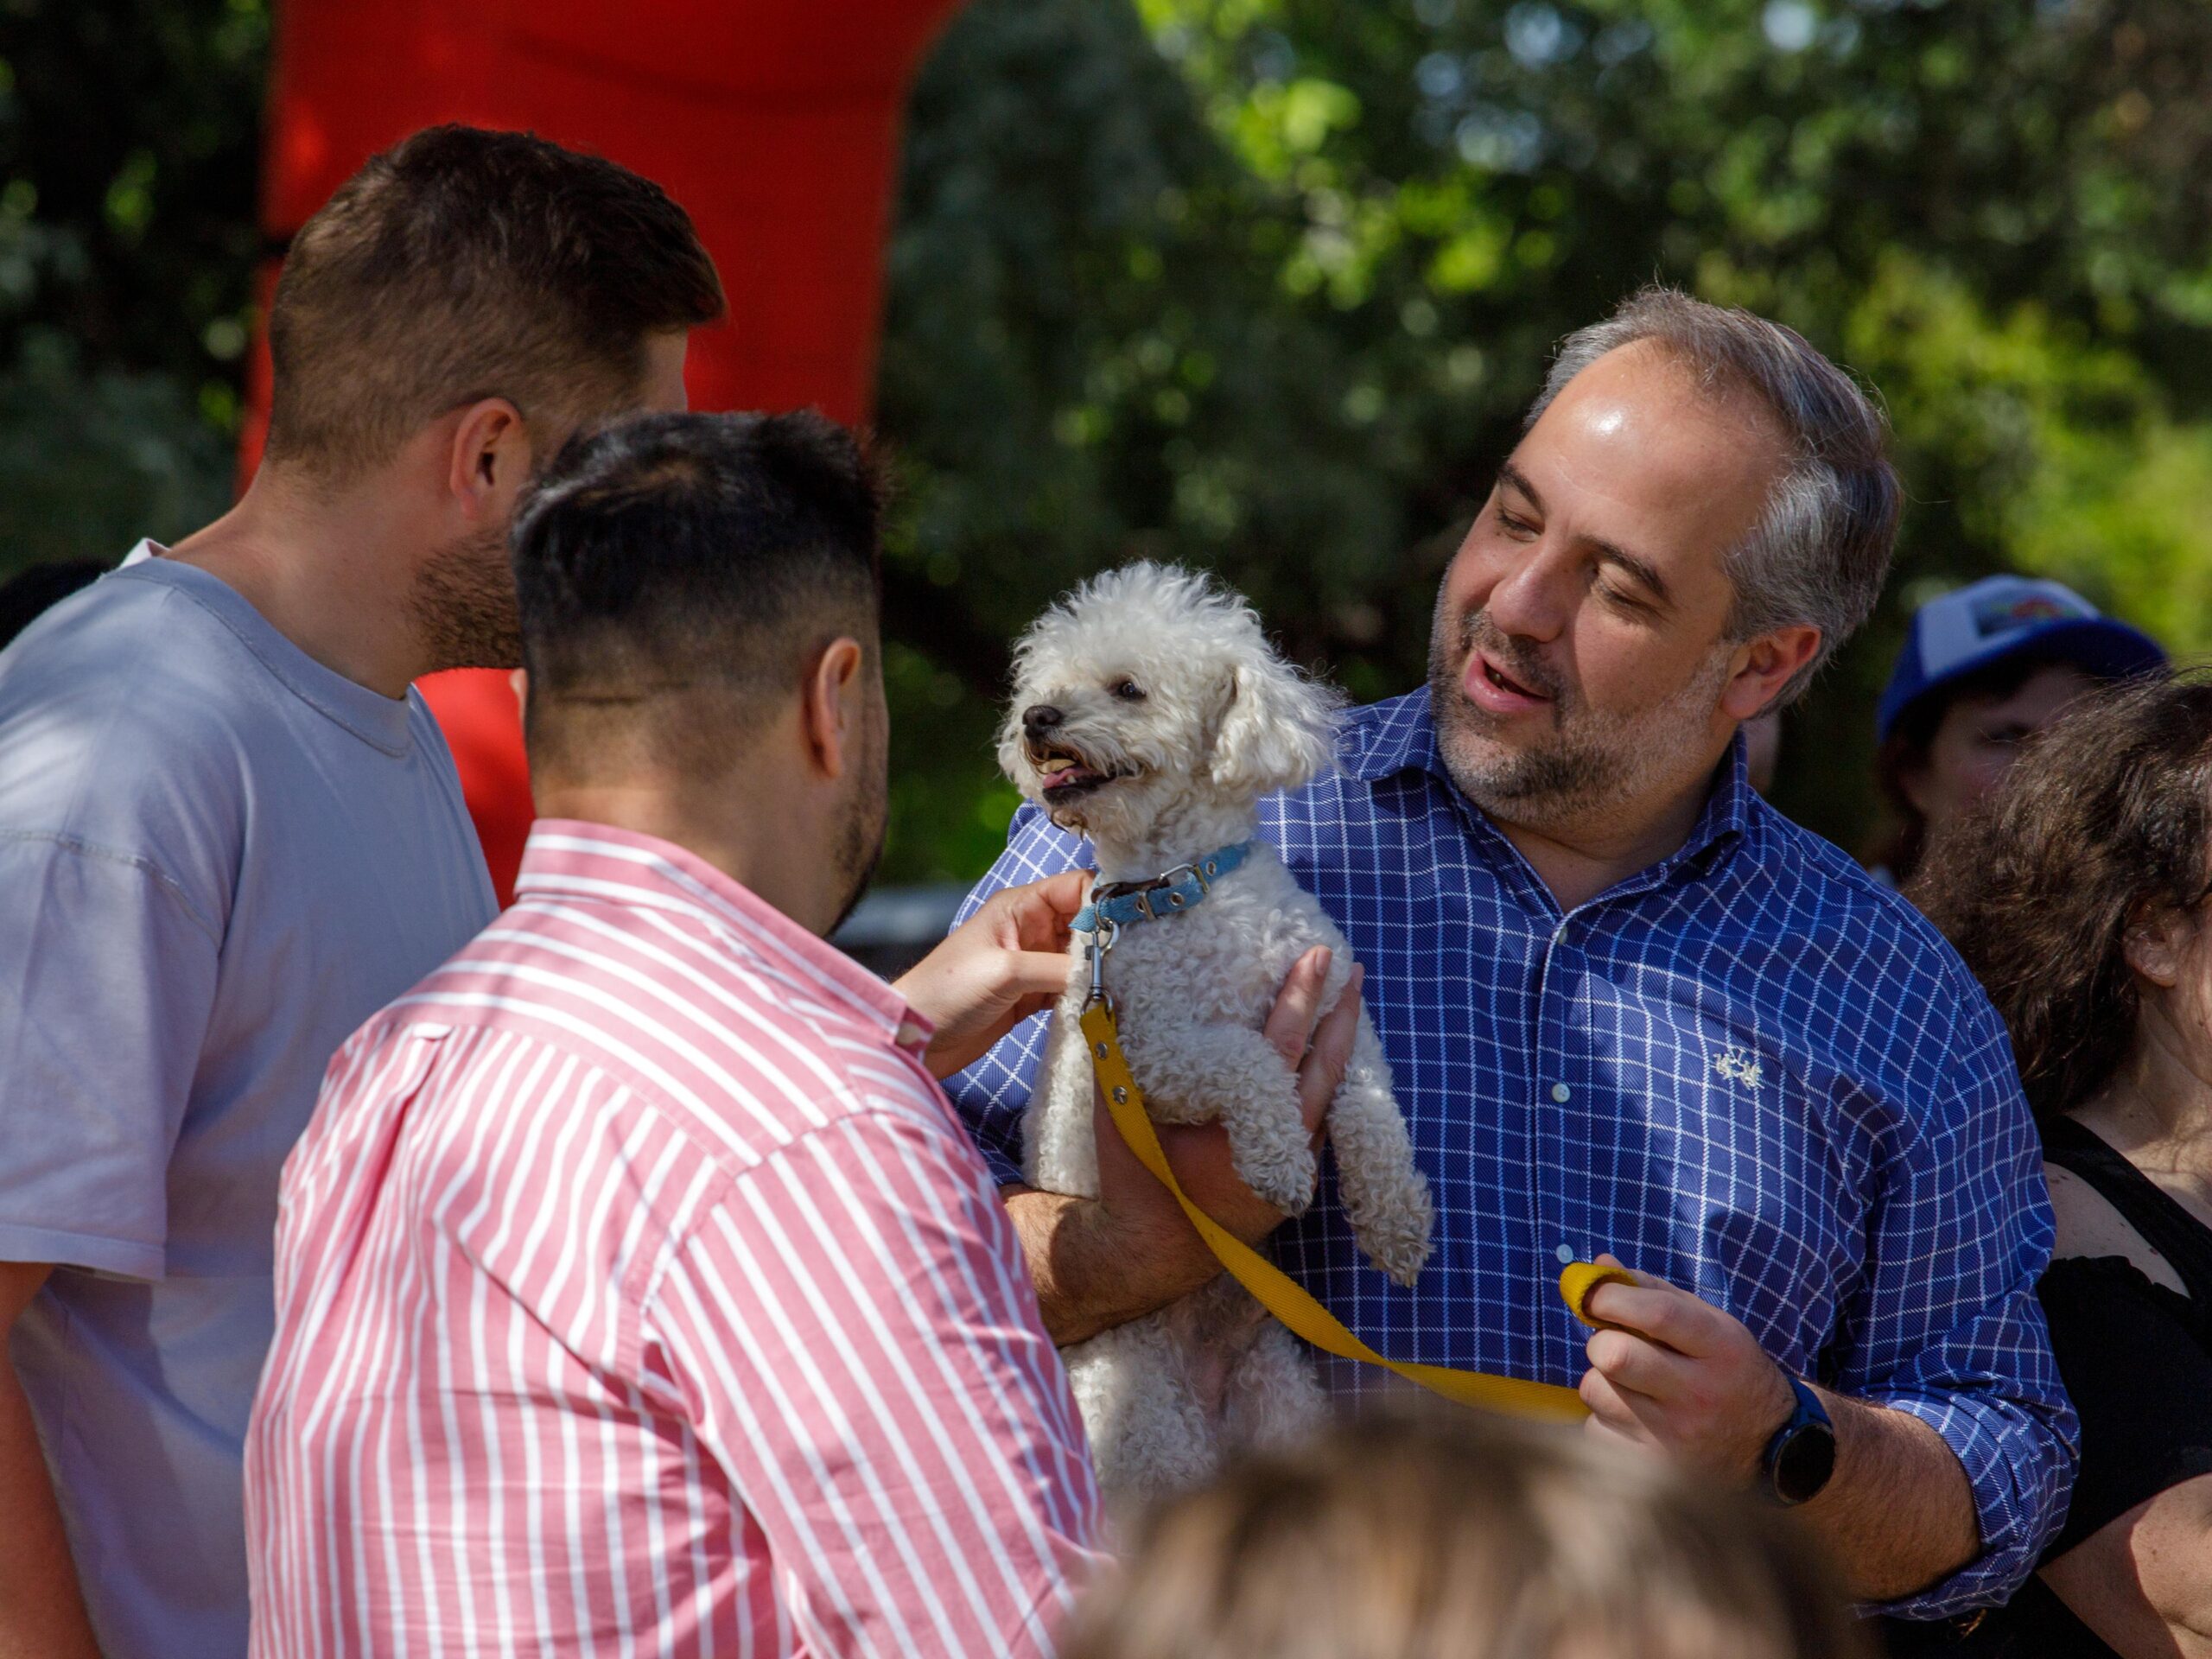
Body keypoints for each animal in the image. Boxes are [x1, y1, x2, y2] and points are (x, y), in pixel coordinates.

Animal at [995, 562, 1424, 1522]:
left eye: (1127, 688)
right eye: (1046, 682)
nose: (1037, 718)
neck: (1178, 887)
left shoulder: (1340, 1011)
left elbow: (1373, 1113)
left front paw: (1398, 1222)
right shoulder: (1152, 1054)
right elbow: (1248, 1060)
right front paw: (1277, 1162)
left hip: (1281, 1396)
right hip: (1146, 1423)